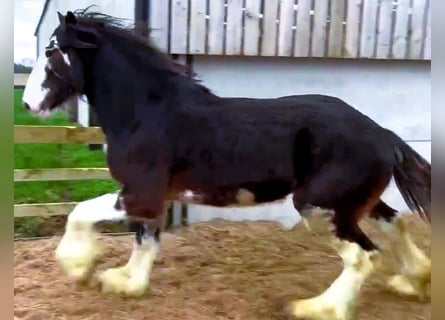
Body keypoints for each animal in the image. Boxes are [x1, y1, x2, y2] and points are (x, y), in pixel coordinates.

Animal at [21, 8, 430, 320]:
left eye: (51, 51)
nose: (28, 104)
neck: (146, 113)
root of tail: (383, 133)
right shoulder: (156, 199)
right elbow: (145, 241)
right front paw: (126, 283)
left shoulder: (140, 193)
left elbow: (81, 212)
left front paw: (78, 266)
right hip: (353, 203)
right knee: (397, 223)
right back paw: (413, 281)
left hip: (319, 206)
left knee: (363, 256)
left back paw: (316, 308)